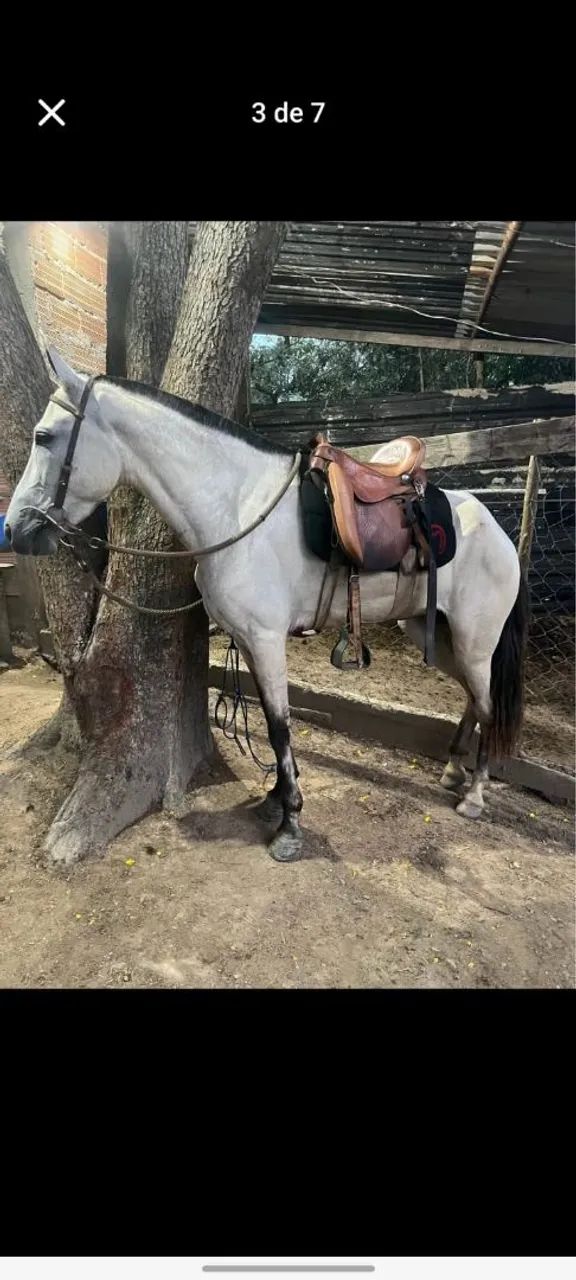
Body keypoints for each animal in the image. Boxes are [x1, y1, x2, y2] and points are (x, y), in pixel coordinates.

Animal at [5, 349, 529, 863]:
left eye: (44, 436)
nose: (16, 529)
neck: (238, 511)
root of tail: (496, 530)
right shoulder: (249, 641)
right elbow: (271, 725)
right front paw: (275, 799)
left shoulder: (267, 638)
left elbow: (279, 725)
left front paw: (290, 823)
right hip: (433, 632)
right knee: (472, 698)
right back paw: (453, 771)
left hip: (474, 640)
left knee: (486, 703)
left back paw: (474, 795)